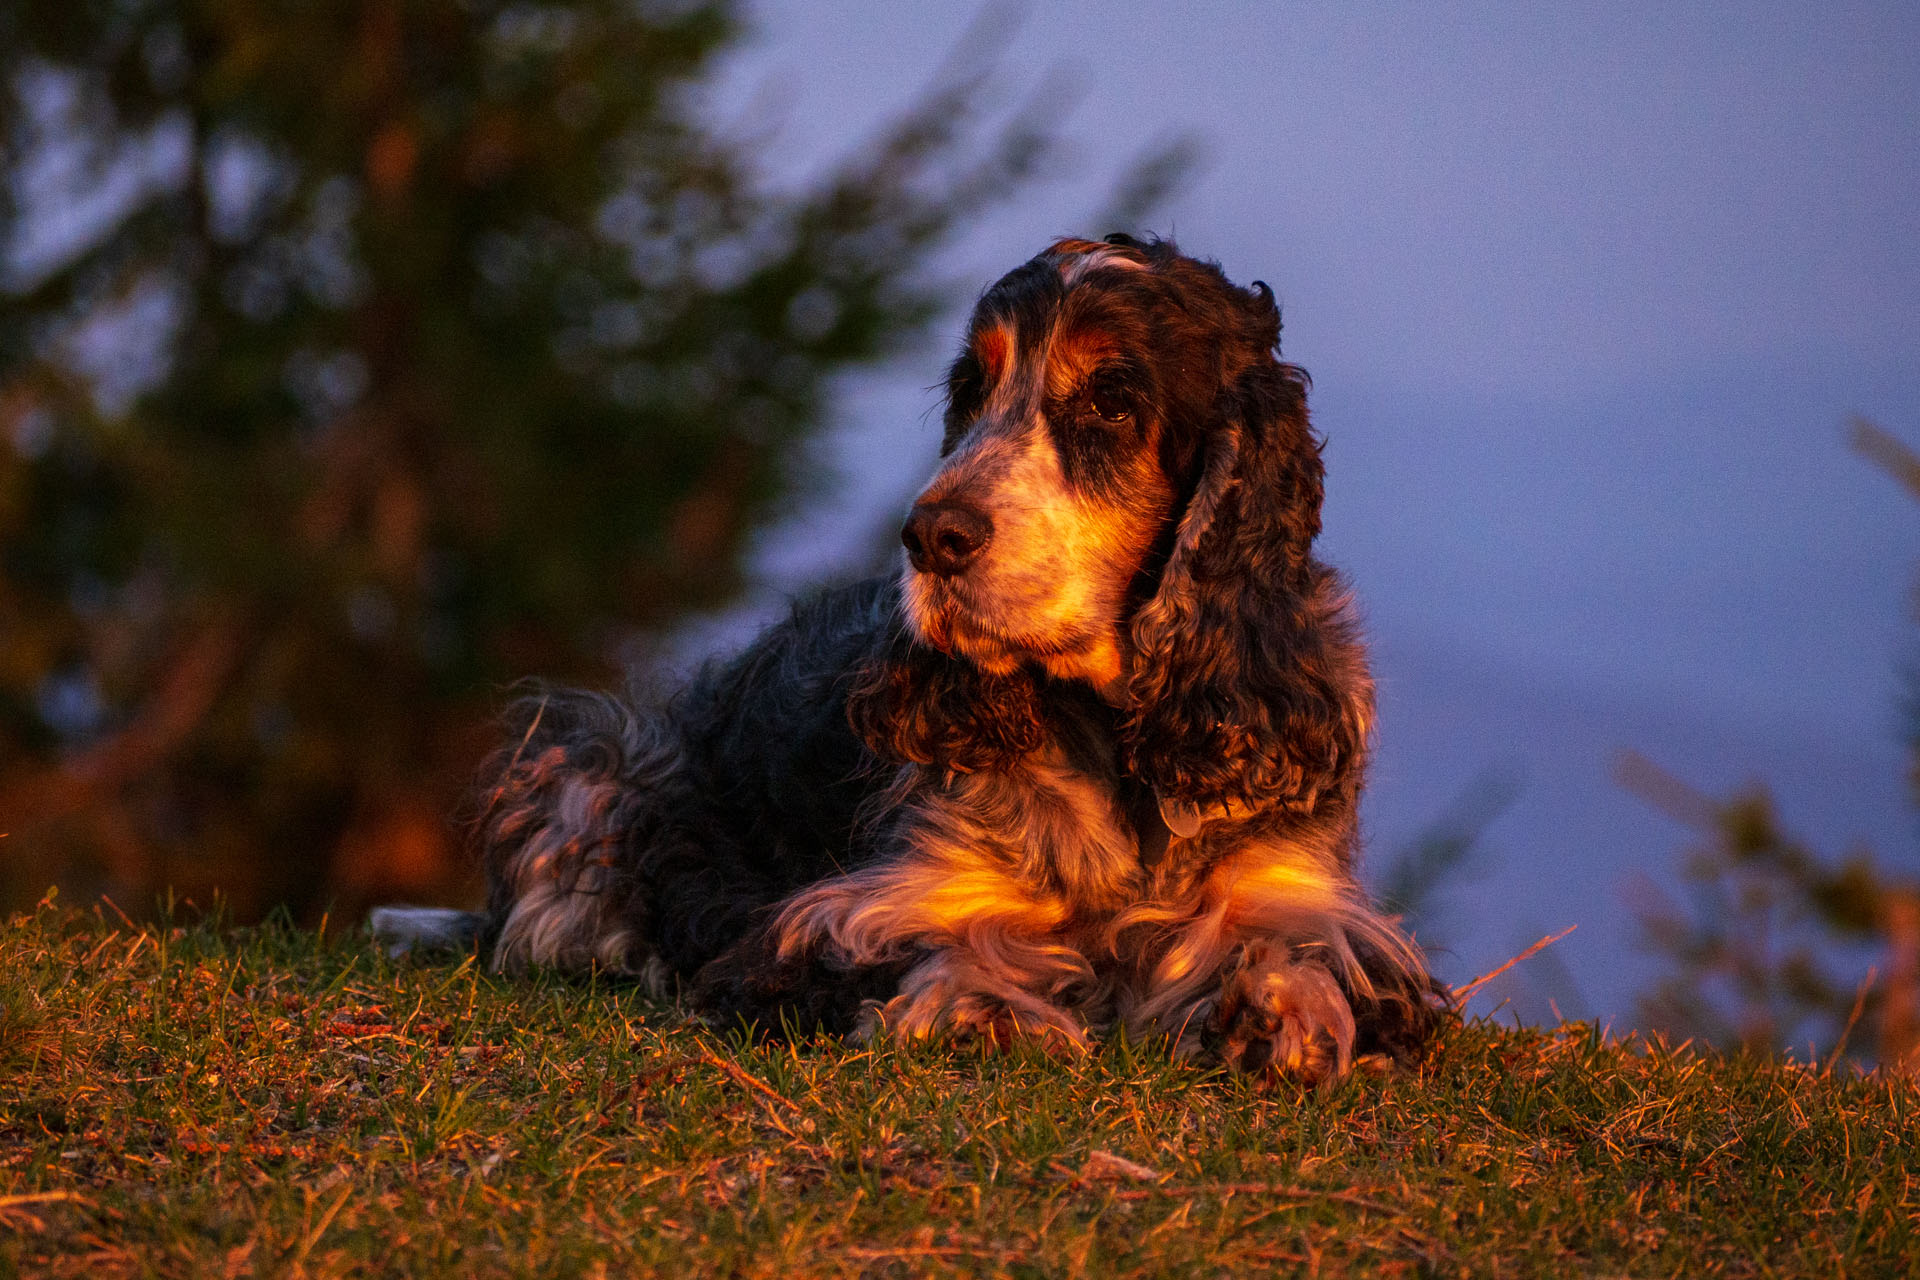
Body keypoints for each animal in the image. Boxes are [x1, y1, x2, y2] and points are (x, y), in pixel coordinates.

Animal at [374, 237, 1443, 1082]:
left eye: (1110, 400)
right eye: (970, 391)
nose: (931, 536)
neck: (1115, 737)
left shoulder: (1297, 882)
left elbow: (1302, 947)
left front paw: (1282, 1010)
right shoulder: (848, 908)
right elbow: (937, 940)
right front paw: (985, 1007)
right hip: (588, 758)